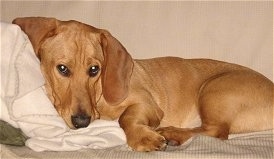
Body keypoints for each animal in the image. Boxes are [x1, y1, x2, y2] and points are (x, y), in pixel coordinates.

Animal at [13, 17, 274, 152]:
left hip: (212, 90)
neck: (99, 98)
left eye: (94, 70)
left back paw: (172, 133)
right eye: (62, 69)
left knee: (217, 131)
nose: (81, 122)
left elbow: (125, 118)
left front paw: (143, 137)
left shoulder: (146, 104)